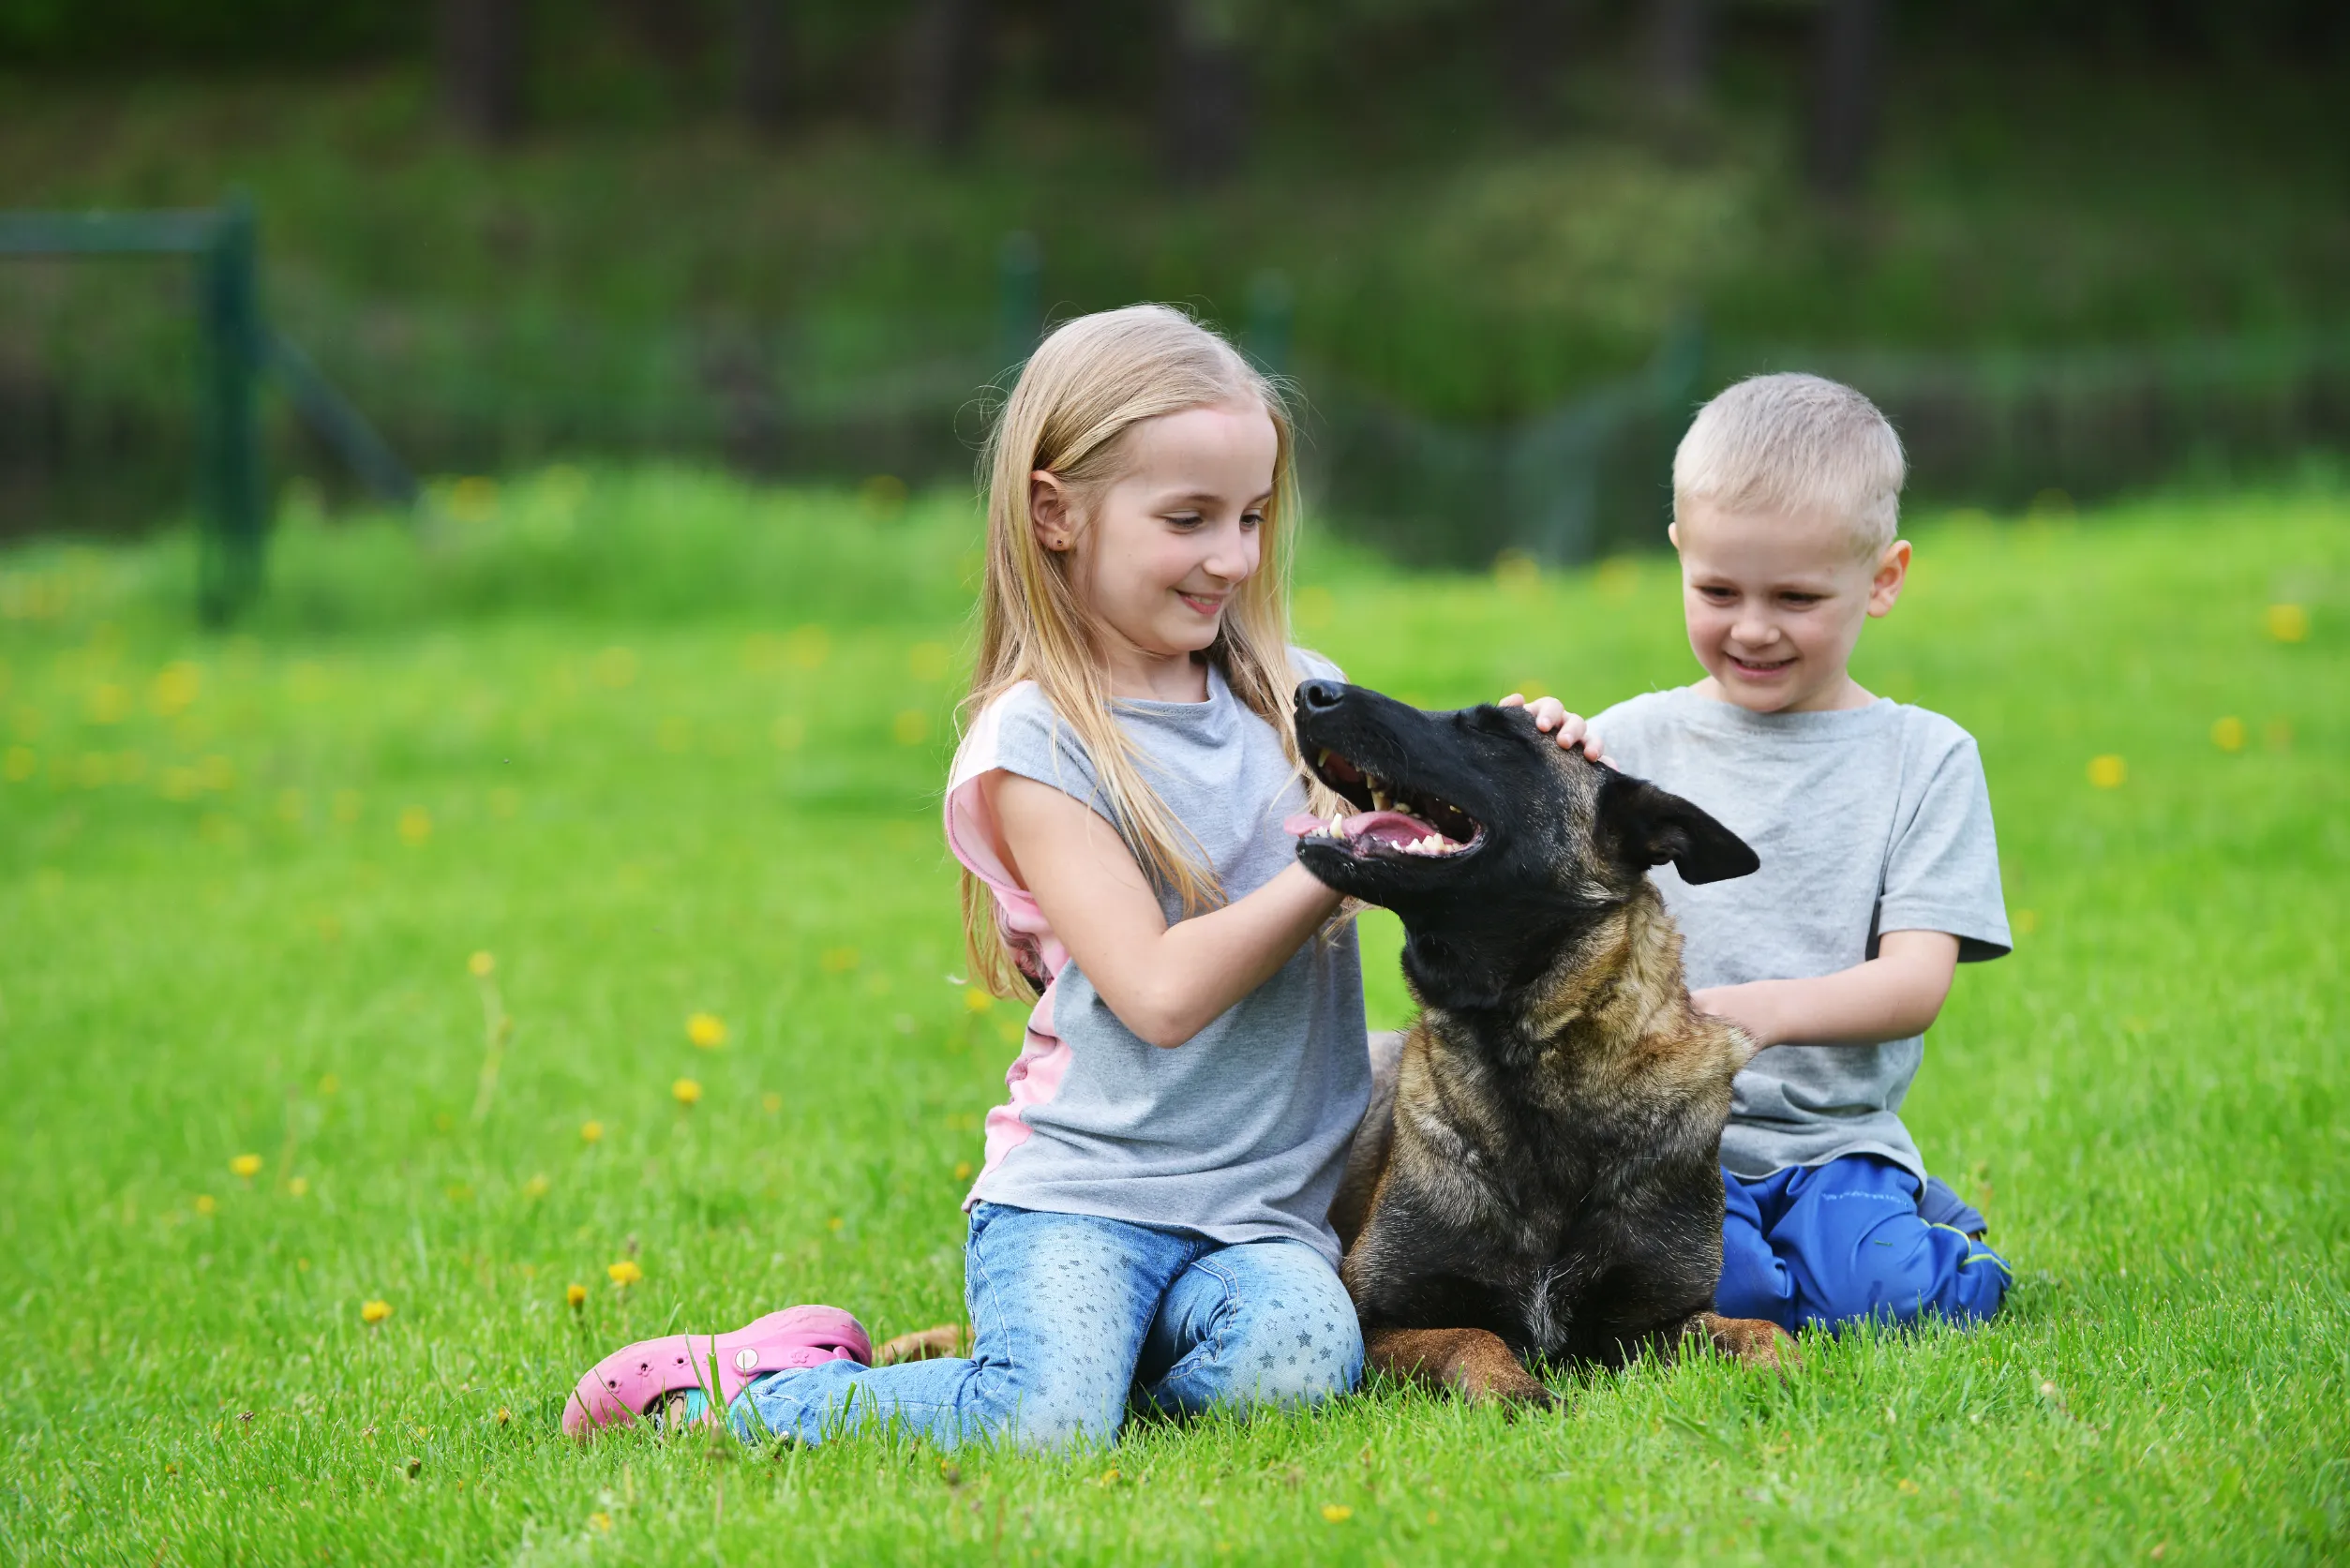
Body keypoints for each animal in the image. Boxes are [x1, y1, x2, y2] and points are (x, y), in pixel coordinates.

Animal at [1296, 681, 1786, 1400]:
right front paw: (1516, 1391)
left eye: (1497, 733)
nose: (1310, 693)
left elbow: (1765, 1333)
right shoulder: (1375, 1320)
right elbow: (1473, 1338)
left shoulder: (1657, 1322)